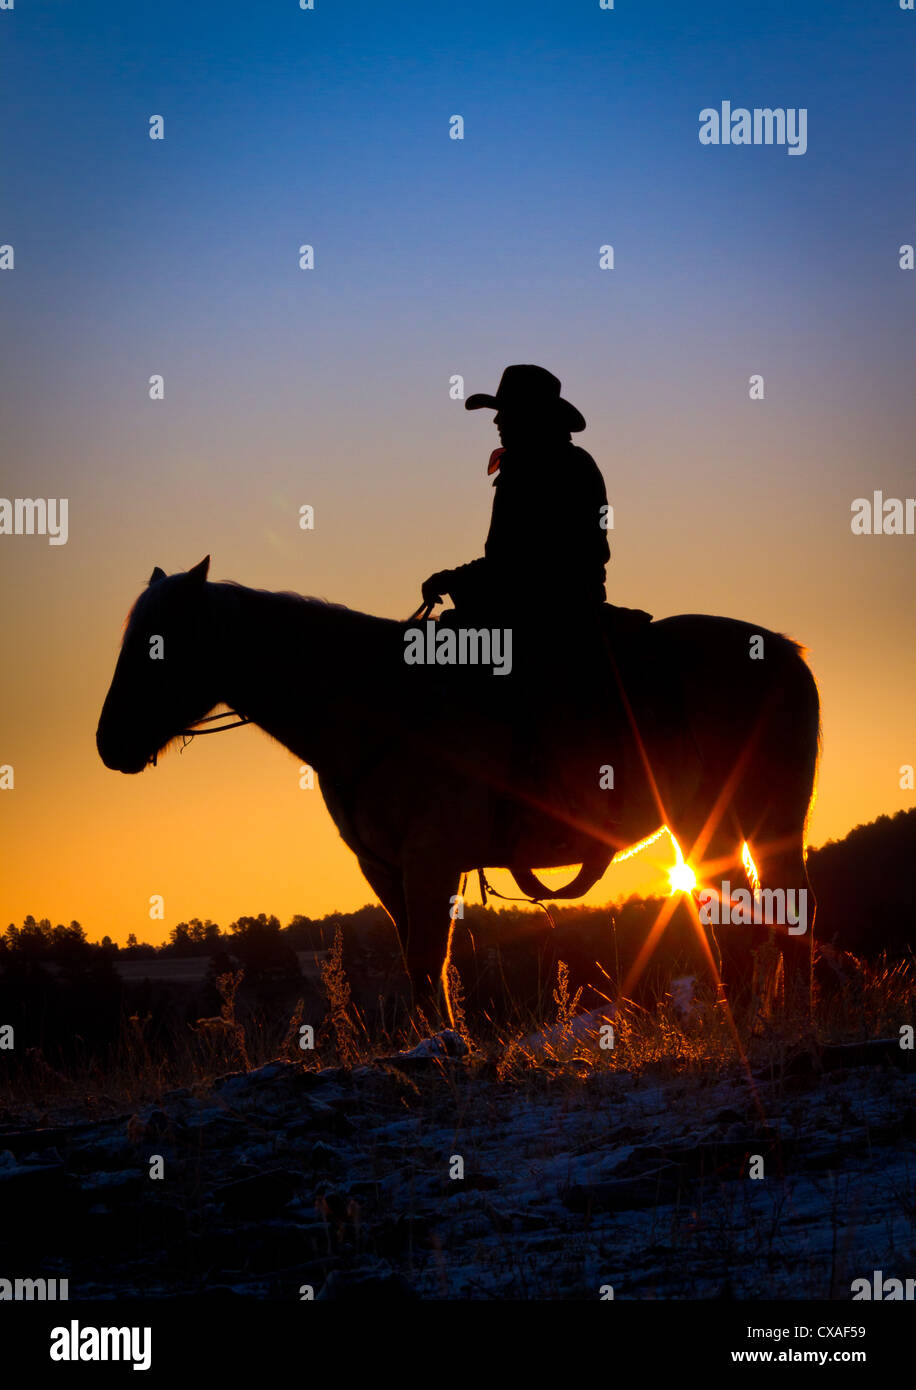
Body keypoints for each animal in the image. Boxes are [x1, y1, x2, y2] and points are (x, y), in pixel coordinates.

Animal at [96, 558, 822, 1017]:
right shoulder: (382, 868)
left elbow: (429, 958)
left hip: (766, 817)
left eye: (159, 644)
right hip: (715, 823)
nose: (108, 743)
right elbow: (414, 963)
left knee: (784, 912)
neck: (386, 704)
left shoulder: (431, 859)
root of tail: (784, 650)